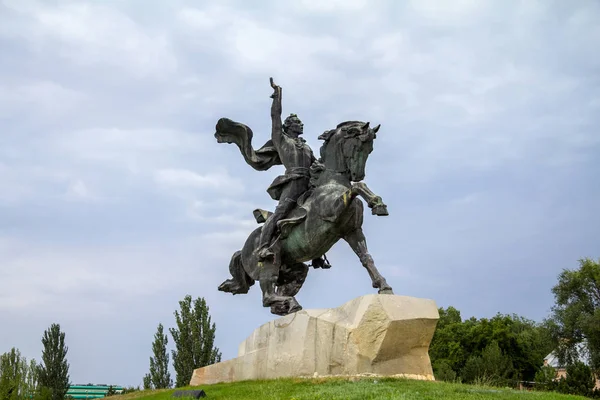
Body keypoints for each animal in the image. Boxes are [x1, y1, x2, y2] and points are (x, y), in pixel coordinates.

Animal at [218, 120, 392, 314]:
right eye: (358, 145)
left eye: (370, 149)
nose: (357, 174)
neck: (332, 183)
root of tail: (243, 251)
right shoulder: (333, 212)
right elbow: (357, 187)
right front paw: (377, 204)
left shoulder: (351, 230)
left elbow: (366, 257)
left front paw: (384, 286)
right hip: (269, 263)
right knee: (267, 295)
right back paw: (290, 301)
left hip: (294, 269)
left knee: (277, 298)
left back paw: (290, 306)